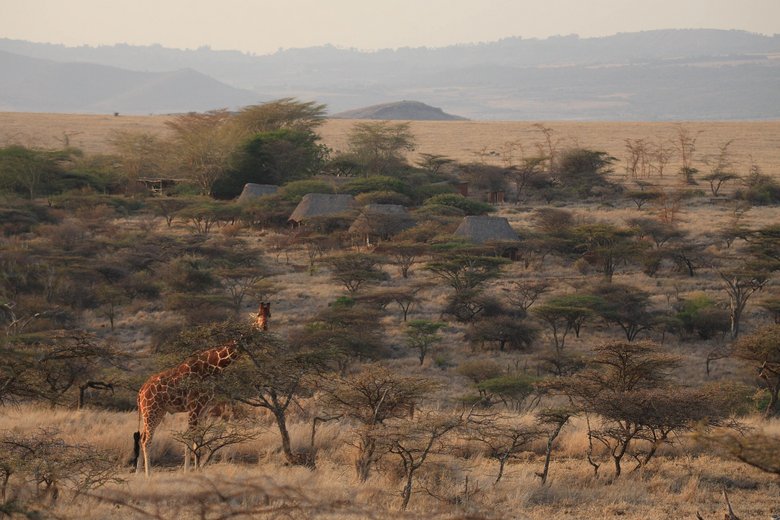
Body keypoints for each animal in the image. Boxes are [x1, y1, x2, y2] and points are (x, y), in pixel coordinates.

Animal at [134, 302, 270, 476]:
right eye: (258, 315)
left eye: (269, 315)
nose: (264, 327)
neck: (212, 367)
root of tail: (141, 391)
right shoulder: (194, 406)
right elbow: (189, 438)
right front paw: (186, 471)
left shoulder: (205, 408)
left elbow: (200, 438)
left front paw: (197, 469)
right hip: (150, 410)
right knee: (146, 439)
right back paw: (148, 474)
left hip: (157, 412)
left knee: (142, 437)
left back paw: (138, 473)